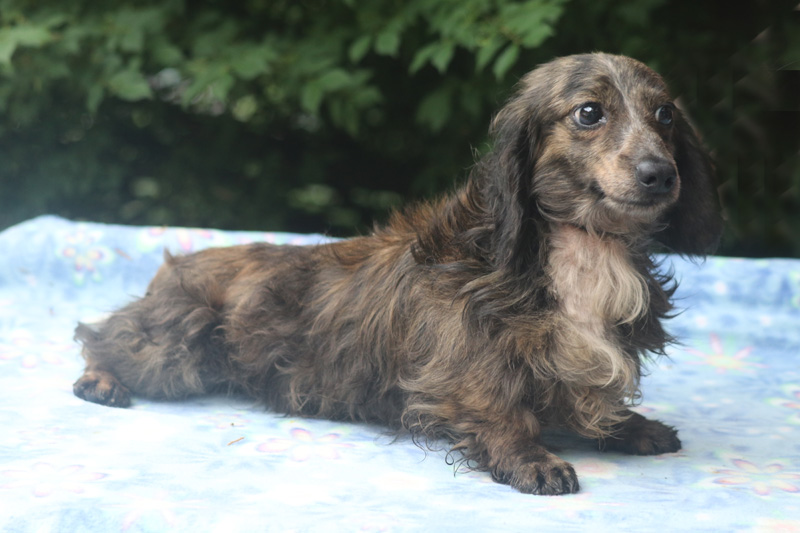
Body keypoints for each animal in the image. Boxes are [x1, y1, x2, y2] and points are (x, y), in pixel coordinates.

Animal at [75, 54, 720, 494]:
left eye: (664, 114)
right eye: (590, 112)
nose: (660, 174)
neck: (583, 247)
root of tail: (177, 265)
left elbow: (591, 398)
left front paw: (627, 427)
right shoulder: (470, 359)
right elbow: (500, 409)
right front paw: (530, 458)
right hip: (176, 341)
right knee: (101, 338)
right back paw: (101, 379)